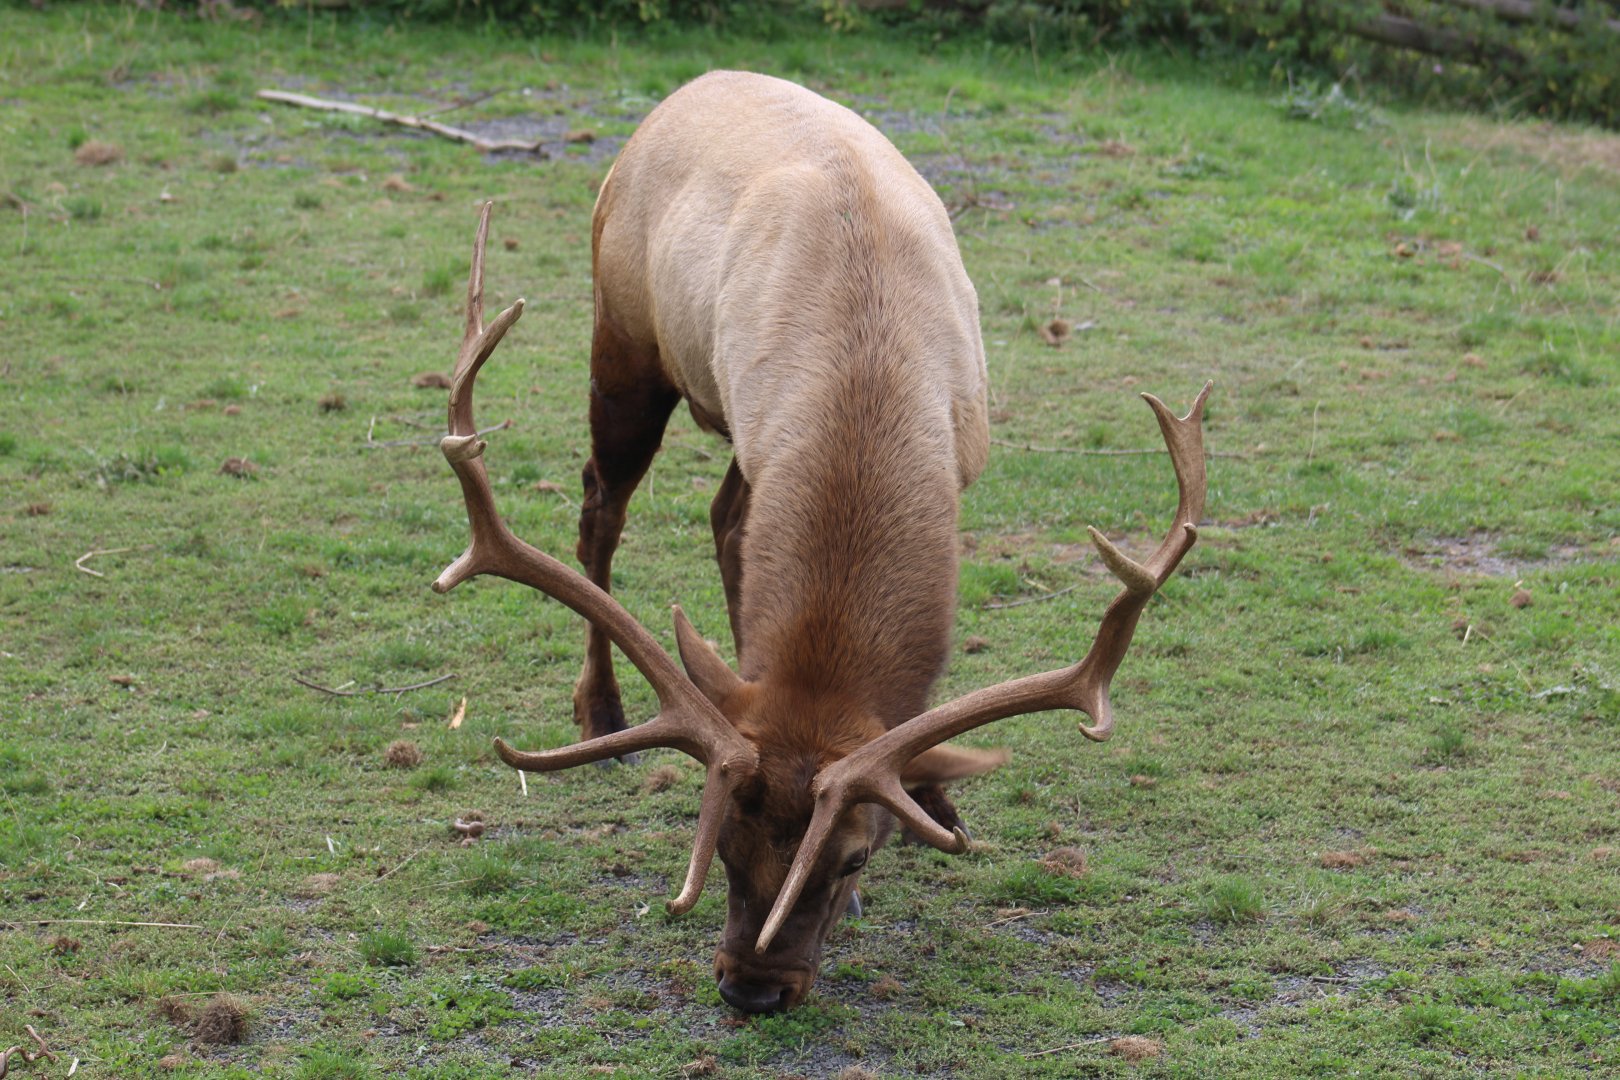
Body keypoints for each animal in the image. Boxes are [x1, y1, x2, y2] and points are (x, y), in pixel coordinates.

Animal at [432, 71, 1210, 1014]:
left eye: (853, 857)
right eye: (722, 845)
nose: (752, 989)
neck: (868, 371)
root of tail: (680, 94)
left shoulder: (954, 456)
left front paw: (940, 804)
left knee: (720, 518)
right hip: (623, 337)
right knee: (599, 508)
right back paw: (603, 706)